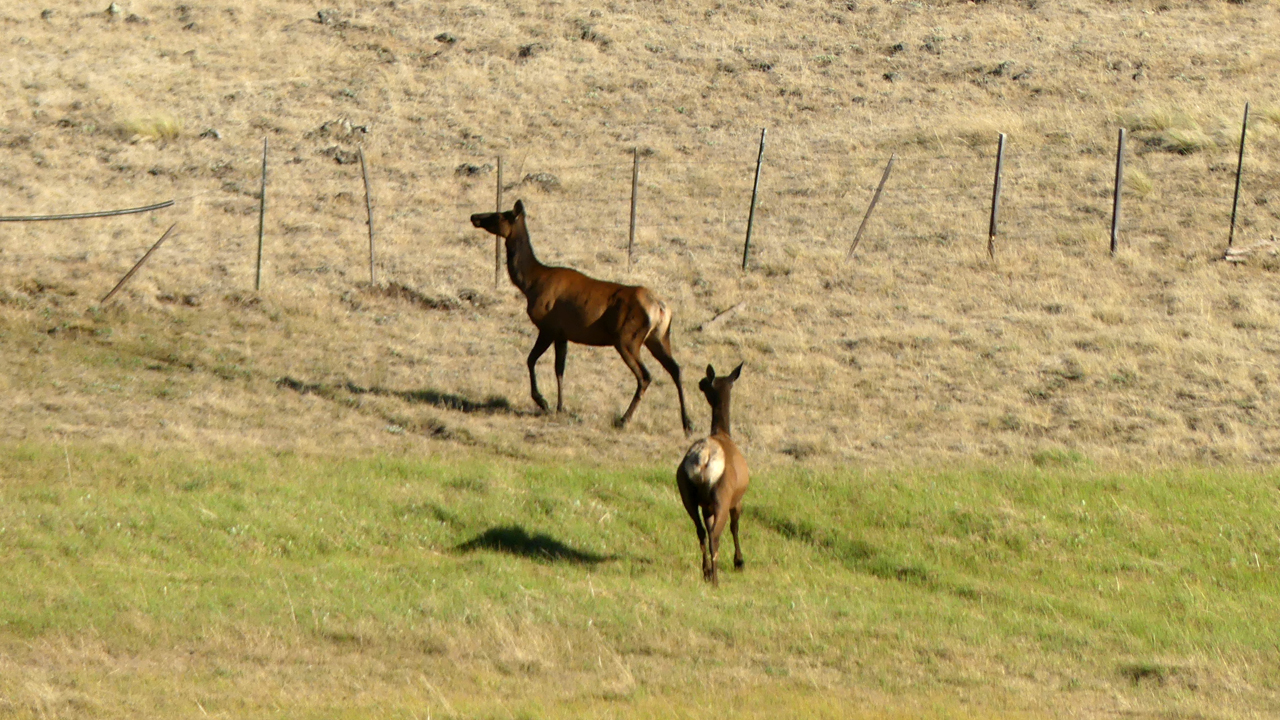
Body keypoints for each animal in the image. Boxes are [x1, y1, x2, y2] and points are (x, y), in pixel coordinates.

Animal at [468, 197, 691, 430]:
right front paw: (559, 406)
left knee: (645, 376)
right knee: (676, 369)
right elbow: (559, 369)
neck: (530, 283)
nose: (474, 216)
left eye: (500, 215)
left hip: (627, 338)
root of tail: (661, 308)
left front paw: (543, 402)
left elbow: (531, 360)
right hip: (658, 337)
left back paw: (624, 419)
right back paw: (687, 423)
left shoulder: (548, 327)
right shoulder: (563, 334)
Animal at [675, 363, 747, 584]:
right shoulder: (737, 499)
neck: (723, 433)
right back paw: (715, 580)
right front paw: (739, 562)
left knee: (701, 531)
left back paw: (706, 572)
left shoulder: (706, 507)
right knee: (715, 535)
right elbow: (735, 527)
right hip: (721, 496)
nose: (700, 382)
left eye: (708, 382)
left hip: (687, 493)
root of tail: (703, 459)